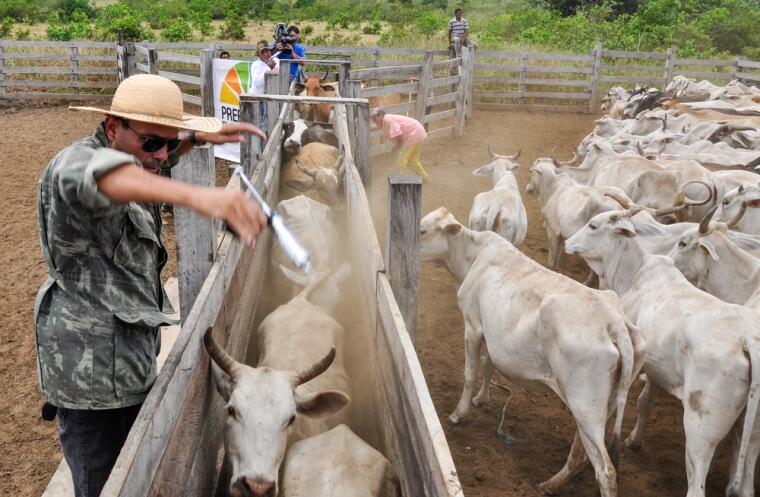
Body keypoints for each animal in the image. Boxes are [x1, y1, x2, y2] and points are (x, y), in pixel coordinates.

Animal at [418, 207, 644, 496]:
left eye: (422, 230)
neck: (473, 255)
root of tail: (614, 321)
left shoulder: (473, 326)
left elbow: (470, 373)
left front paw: (460, 413)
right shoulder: (493, 334)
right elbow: (489, 365)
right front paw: (482, 399)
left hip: (585, 406)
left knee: (605, 470)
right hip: (604, 405)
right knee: (581, 453)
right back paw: (549, 484)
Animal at [568, 208, 760, 496]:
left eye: (592, 225)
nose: (568, 242)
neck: (635, 274)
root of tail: (747, 339)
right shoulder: (659, 370)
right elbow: (646, 401)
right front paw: (635, 441)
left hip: (700, 428)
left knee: (697, 483)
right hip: (752, 430)